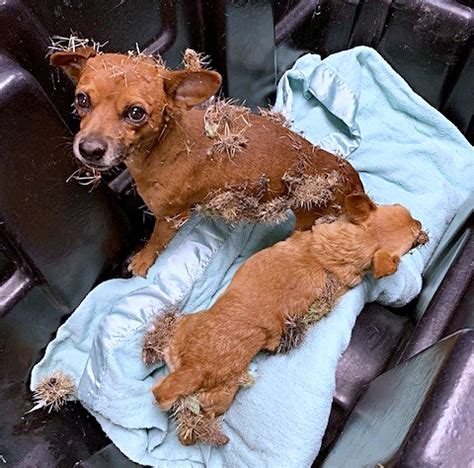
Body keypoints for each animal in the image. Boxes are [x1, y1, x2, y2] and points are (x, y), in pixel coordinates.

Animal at [51, 45, 362, 276]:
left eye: (136, 113)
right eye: (81, 99)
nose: (89, 149)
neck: (160, 146)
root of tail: (352, 181)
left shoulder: (170, 220)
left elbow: (154, 244)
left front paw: (141, 260)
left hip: (307, 219)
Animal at [149, 193, 430, 442]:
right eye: (411, 242)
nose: (421, 225)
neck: (335, 253)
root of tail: (192, 369)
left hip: (186, 335)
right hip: (221, 394)